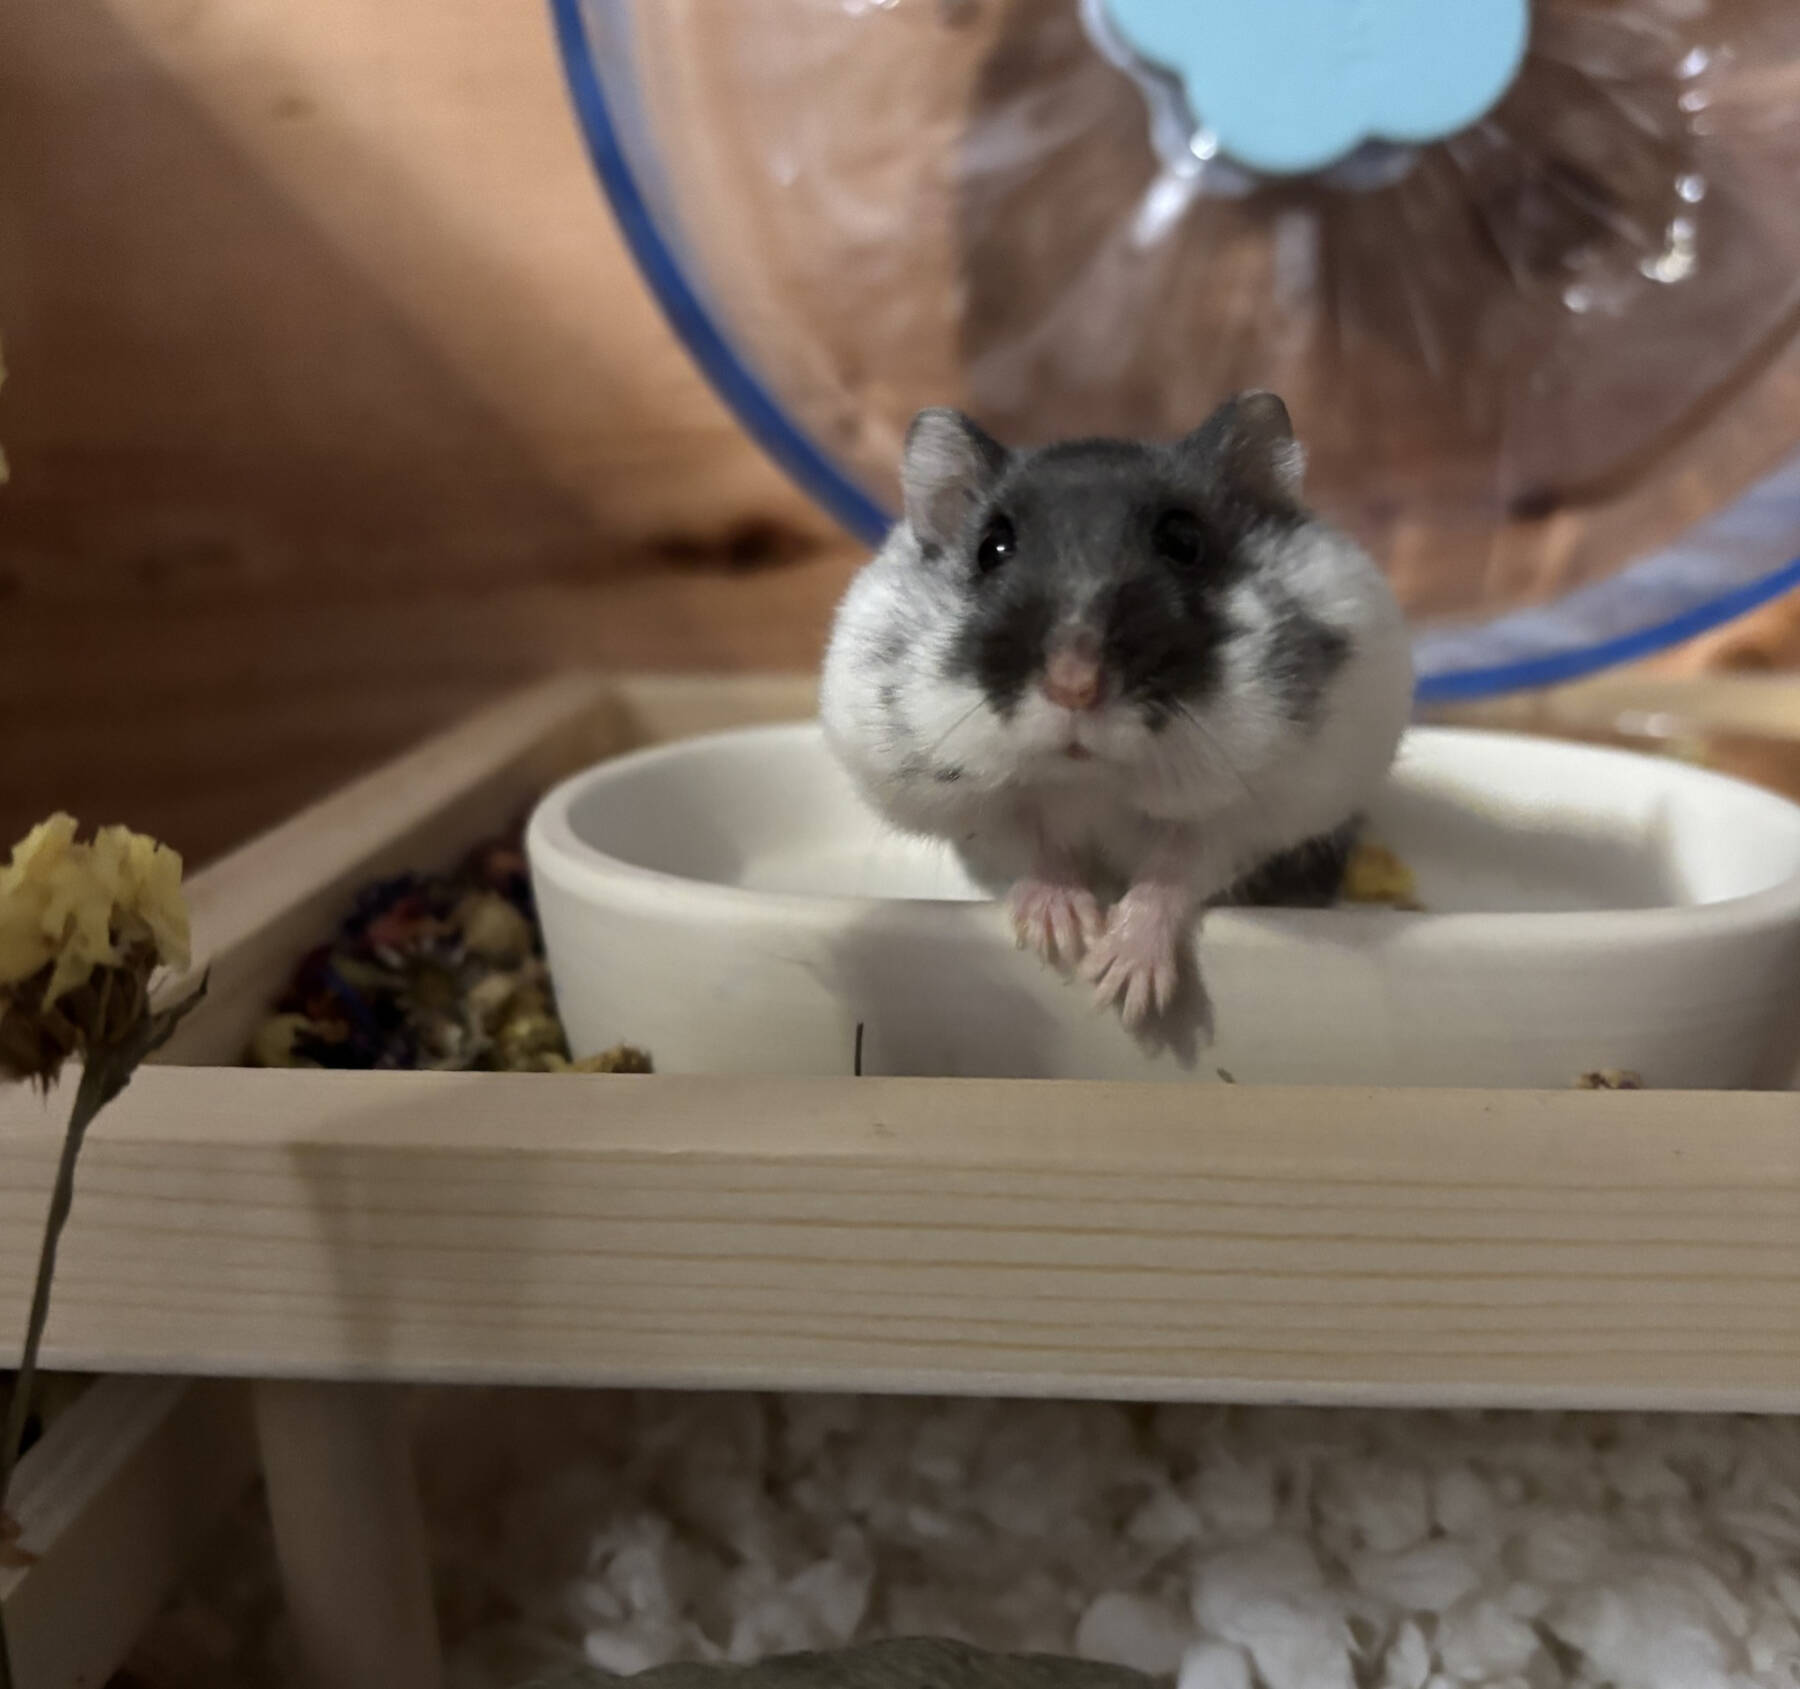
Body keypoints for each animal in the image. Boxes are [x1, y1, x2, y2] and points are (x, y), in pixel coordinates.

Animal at [818, 391, 1413, 1039]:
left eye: (1184, 543)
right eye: (991, 548)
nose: (1073, 686)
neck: (1092, 781)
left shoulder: (1250, 811)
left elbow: (1178, 868)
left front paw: (1122, 984)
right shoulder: (981, 805)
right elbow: (1030, 846)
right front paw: (1065, 939)